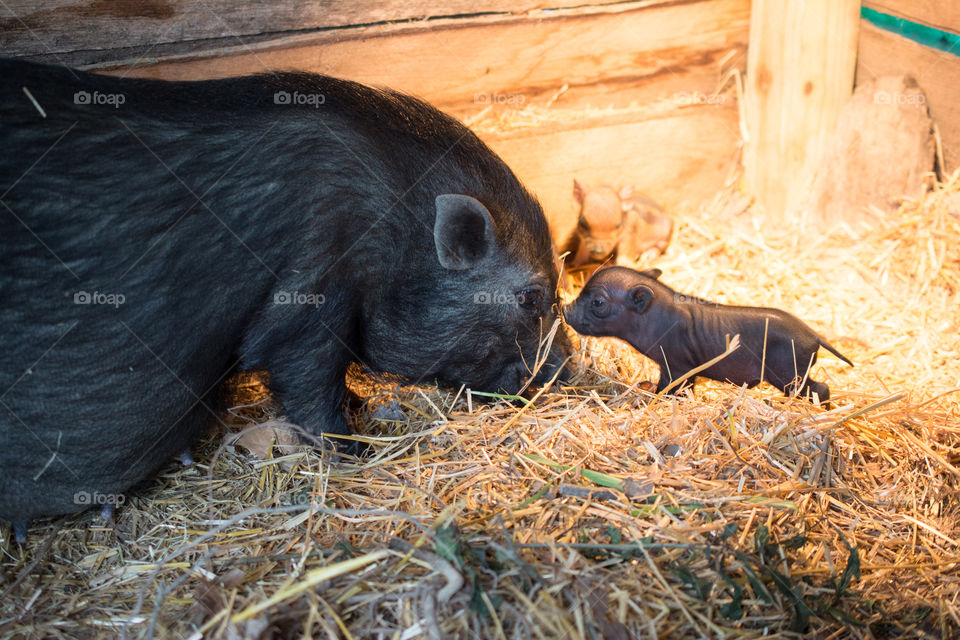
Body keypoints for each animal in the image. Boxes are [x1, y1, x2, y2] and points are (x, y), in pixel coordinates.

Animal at [0, 59, 570, 542]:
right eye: (531, 296)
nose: (566, 371)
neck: (394, 229)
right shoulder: (310, 292)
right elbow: (308, 378)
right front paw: (352, 449)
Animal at [564, 267, 852, 402]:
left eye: (598, 302)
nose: (565, 309)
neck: (654, 317)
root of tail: (815, 336)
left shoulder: (676, 364)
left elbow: (670, 386)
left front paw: (656, 396)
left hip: (789, 372)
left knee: (821, 388)